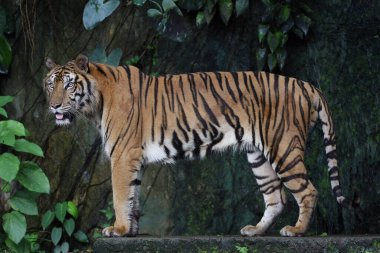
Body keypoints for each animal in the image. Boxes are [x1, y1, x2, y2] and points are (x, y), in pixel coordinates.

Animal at [43, 53, 348, 237]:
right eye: (50, 85)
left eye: (69, 85)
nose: (54, 106)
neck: (95, 103)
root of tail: (305, 84)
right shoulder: (133, 159)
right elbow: (133, 197)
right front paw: (130, 230)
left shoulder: (123, 155)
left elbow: (120, 196)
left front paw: (117, 229)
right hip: (258, 156)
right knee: (276, 198)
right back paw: (255, 231)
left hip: (283, 146)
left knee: (307, 190)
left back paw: (295, 231)